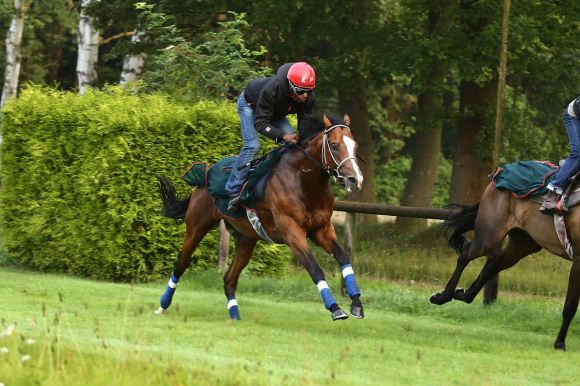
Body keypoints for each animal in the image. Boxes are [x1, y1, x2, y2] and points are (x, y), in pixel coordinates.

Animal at [154, 113, 362, 322]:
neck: (304, 181)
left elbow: (344, 258)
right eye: (334, 145)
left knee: (229, 279)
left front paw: (356, 303)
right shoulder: (291, 232)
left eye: (355, 146)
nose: (355, 179)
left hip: (246, 239)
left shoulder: (322, 229)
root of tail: (205, 174)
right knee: (180, 264)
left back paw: (235, 316)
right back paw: (162, 306)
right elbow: (314, 269)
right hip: (196, 227)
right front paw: (335, 308)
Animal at [428, 181, 580, 350]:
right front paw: (560, 343)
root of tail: (493, 181)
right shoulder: (578, 260)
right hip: (489, 238)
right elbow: (570, 306)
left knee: (494, 264)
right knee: (466, 254)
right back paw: (443, 296)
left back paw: (461, 294)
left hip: (523, 242)